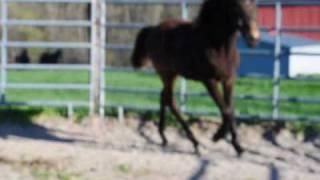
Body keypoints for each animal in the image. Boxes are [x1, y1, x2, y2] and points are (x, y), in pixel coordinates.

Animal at [130, 0, 260, 155]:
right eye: (236, 4)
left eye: (255, 3)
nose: (254, 37)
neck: (216, 44)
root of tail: (153, 29)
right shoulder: (209, 81)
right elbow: (226, 110)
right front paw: (217, 136)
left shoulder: (229, 79)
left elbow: (230, 109)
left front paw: (238, 146)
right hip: (167, 73)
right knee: (170, 100)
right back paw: (195, 142)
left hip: (173, 74)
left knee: (163, 96)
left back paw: (164, 137)